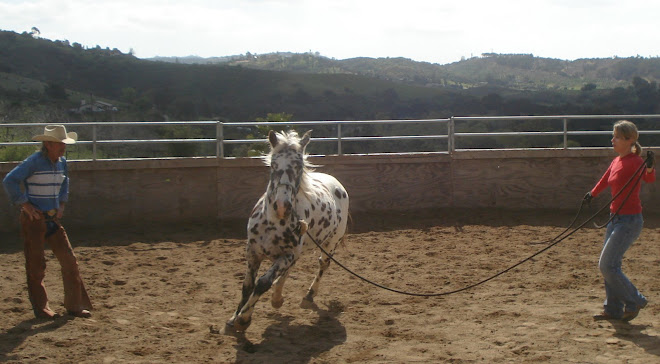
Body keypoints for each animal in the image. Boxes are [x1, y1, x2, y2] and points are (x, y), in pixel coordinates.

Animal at [226, 129, 350, 332]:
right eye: (273, 164)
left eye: (299, 165)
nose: (282, 206)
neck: (273, 222)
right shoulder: (253, 252)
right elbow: (247, 285)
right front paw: (232, 319)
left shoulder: (287, 254)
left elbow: (262, 283)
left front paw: (243, 319)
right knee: (288, 271)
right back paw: (277, 298)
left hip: (330, 244)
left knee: (322, 265)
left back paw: (308, 296)